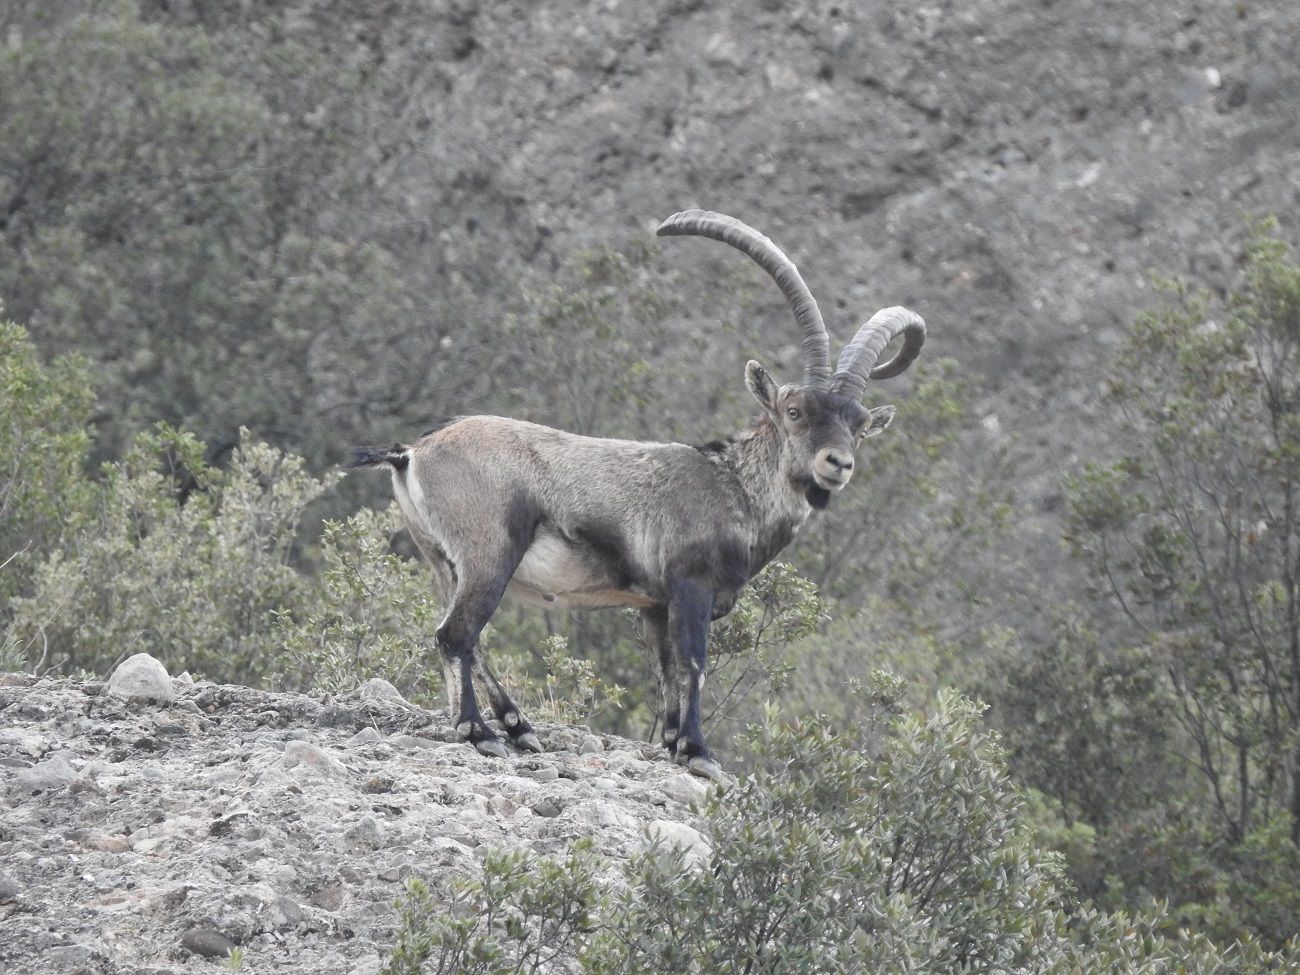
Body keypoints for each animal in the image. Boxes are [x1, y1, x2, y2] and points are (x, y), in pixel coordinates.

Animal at [350, 210, 925, 779]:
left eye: (859, 426)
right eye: (795, 410)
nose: (838, 464)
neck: (735, 487)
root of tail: (413, 453)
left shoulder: (654, 604)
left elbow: (666, 668)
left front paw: (672, 741)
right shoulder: (691, 586)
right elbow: (693, 662)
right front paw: (698, 752)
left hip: (441, 560)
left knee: (466, 636)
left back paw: (518, 726)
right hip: (489, 552)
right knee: (456, 634)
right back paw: (480, 732)